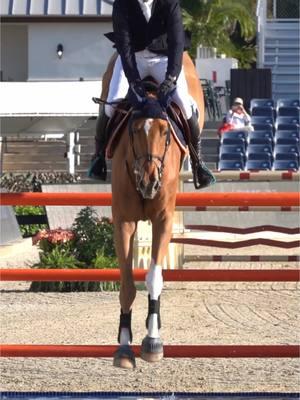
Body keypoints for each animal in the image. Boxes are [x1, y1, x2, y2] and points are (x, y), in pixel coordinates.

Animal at [99, 52, 205, 368]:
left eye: (165, 130)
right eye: (134, 130)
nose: (149, 181)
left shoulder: (163, 220)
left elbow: (154, 278)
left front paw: (153, 341)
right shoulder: (123, 221)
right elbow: (126, 284)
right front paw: (124, 346)